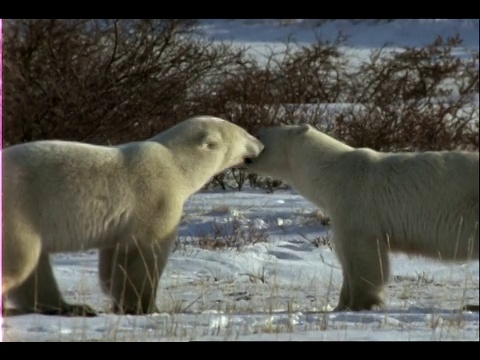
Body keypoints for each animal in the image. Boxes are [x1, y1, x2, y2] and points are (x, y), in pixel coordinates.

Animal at [1, 115, 264, 316]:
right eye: (244, 133)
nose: (261, 145)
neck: (176, 163)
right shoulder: (156, 199)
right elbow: (141, 255)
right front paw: (145, 307)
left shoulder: (118, 227)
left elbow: (113, 260)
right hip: (20, 210)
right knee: (21, 259)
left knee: (35, 267)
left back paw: (71, 307)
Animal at [246, 124, 478, 310]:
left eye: (258, 134)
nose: (245, 155)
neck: (331, 173)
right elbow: (344, 257)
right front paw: (340, 305)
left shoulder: (356, 203)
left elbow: (362, 255)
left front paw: (359, 303)